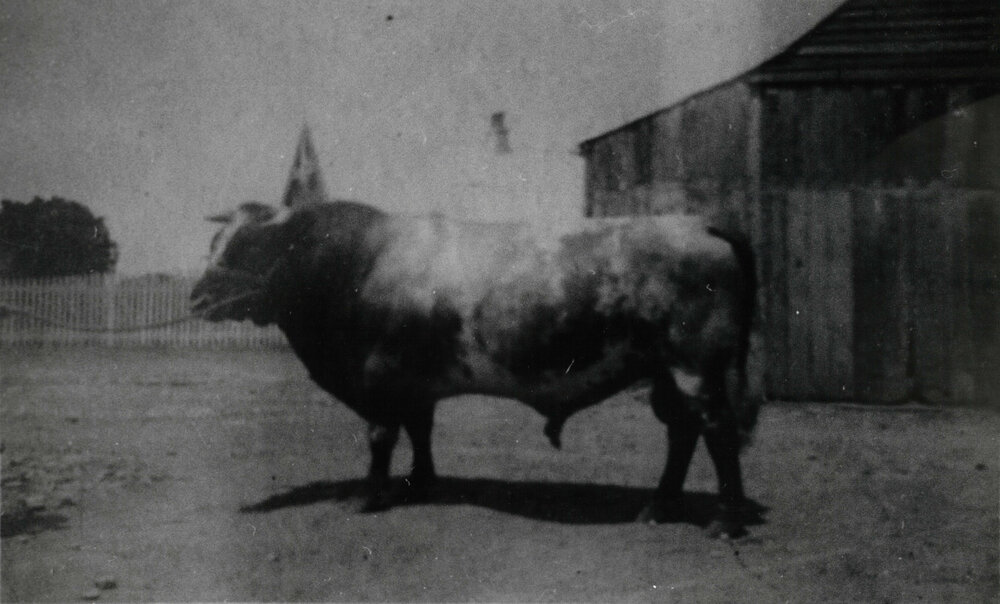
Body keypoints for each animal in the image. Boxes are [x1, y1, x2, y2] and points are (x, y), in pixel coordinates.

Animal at [191, 199, 758, 537]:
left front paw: (369, 496)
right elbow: (420, 430)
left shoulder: (379, 378)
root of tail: (697, 222)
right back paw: (659, 507)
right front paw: (420, 483)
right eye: (213, 243)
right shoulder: (415, 384)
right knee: (681, 430)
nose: (196, 298)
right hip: (663, 370)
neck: (357, 262)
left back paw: (724, 521)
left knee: (717, 430)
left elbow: (381, 437)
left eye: (247, 244)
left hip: (695, 366)